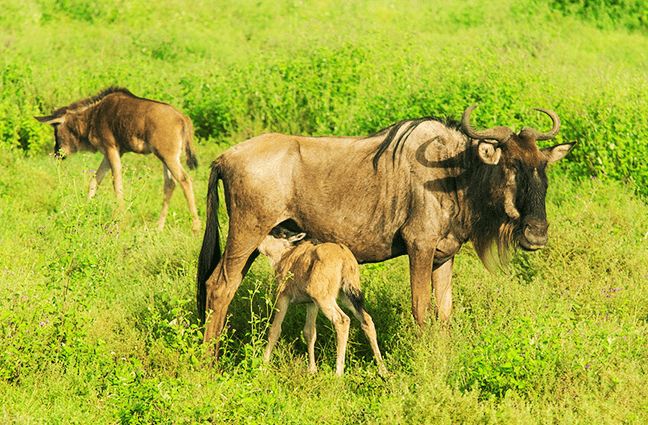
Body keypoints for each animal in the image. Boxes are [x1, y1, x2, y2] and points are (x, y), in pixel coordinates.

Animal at [34, 87, 200, 232]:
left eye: (56, 129)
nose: (57, 153)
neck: (92, 116)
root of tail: (183, 119)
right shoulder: (112, 153)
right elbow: (95, 181)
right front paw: (85, 210)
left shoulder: (111, 148)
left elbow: (116, 183)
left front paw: (121, 217)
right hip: (166, 157)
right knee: (170, 184)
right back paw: (159, 227)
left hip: (167, 156)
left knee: (185, 180)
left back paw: (196, 227)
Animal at [195, 103, 576, 354]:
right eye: (511, 165)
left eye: (542, 166)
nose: (537, 233)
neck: (456, 173)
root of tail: (224, 157)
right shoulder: (419, 247)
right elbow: (420, 306)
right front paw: (422, 358)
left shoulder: (444, 256)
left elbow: (444, 310)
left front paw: (443, 355)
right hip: (246, 233)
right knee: (220, 285)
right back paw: (210, 360)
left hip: (259, 239)